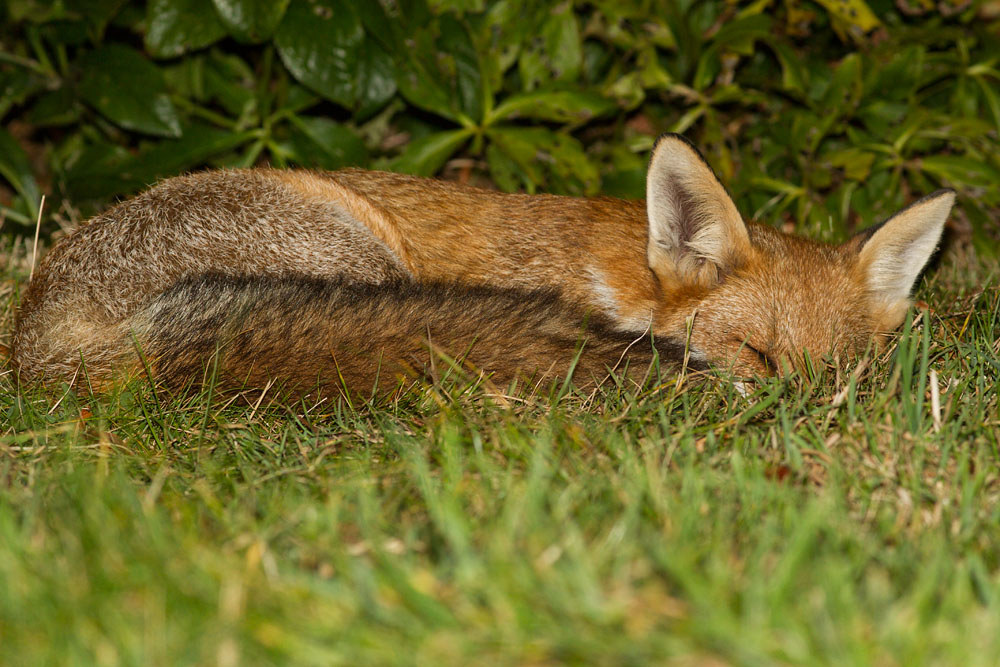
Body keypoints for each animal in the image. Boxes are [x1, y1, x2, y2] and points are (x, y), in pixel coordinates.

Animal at [11, 133, 955, 399]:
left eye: (844, 374)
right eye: (757, 355)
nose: (810, 418)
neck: (611, 280)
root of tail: (36, 335)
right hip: (361, 255)